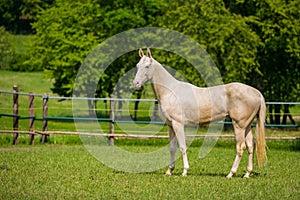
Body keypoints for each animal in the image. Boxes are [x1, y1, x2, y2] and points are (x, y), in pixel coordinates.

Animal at [132, 48, 266, 178]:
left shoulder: (178, 124)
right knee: (250, 146)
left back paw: (230, 174)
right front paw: (169, 171)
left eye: (147, 66)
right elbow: (172, 148)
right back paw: (247, 174)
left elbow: (182, 147)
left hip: (238, 126)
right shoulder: (170, 126)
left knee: (240, 148)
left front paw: (184, 171)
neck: (170, 91)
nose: (136, 84)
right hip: (247, 126)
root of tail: (256, 92)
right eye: (137, 65)